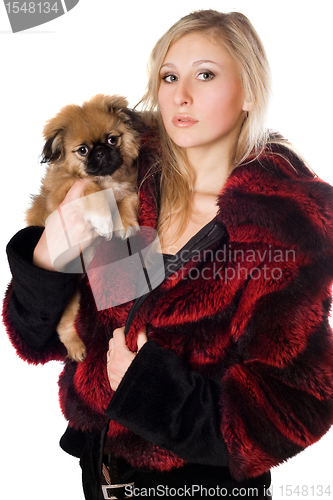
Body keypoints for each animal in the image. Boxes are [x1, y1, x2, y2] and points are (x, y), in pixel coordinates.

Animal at [26, 93, 144, 360]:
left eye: (112, 139)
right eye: (83, 150)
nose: (100, 153)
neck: (107, 178)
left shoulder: (128, 188)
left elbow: (127, 200)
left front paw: (125, 223)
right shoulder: (63, 193)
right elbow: (91, 188)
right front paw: (103, 219)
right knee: (63, 327)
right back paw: (76, 348)